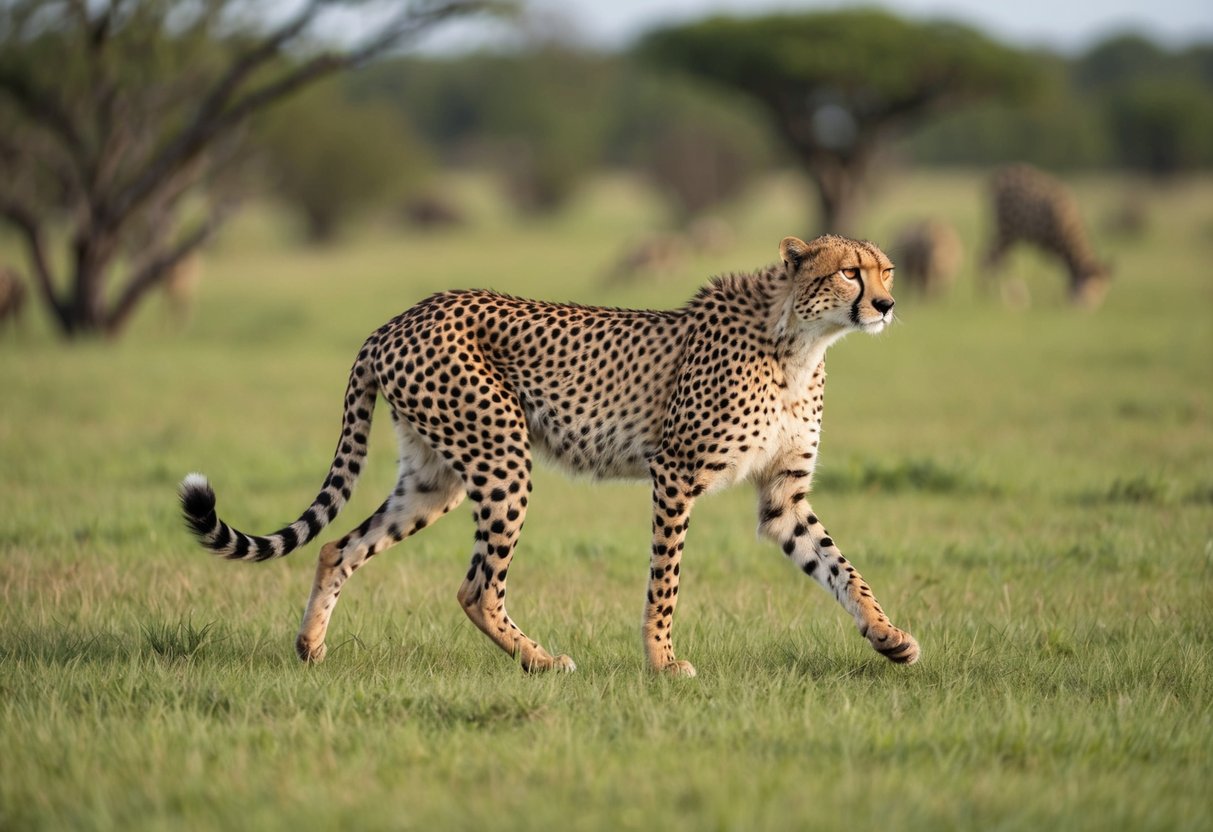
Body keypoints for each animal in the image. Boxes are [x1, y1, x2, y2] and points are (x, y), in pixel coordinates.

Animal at [180, 233, 920, 676]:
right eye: (849, 273)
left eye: (885, 270)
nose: (885, 304)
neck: (799, 341)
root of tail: (401, 316)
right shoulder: (675, 474)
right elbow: (666, 581)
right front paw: (662, 662)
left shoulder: (782, 498)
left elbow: (841, 570)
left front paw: (888, 637)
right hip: (502, 454)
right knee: (476, 587)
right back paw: (540, 661)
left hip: (434, 477)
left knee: (339, 545)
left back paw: (310, 645)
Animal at [983, 164, 1110, 308]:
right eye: (1094, 287)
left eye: (1102, 290)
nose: (1088, 306)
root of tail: (998, 175)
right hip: (1007, 232)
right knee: (990, 259)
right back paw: (990, 295)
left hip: (1008, 236)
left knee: (998, 260)